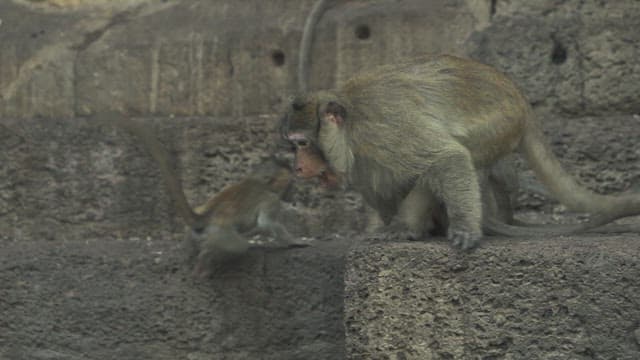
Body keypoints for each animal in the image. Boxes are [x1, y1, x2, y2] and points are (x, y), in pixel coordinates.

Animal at [97, 114, 310, 278]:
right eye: (290, 186)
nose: (292, 194)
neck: (261, 182)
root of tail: (204, 218)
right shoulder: (271, 200)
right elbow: (267, 223)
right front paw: (293, 242)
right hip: (219, 233)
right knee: (236, 246)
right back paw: (204, 262)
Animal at [282, 54, 640, 249]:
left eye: (302, 144)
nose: (298, 167)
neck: (350, 123)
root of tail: (521, 101)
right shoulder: (362, 155)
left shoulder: (383, 131)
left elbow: (446, 156)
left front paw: (465, 225)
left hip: (499, 126)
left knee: (452, 152)